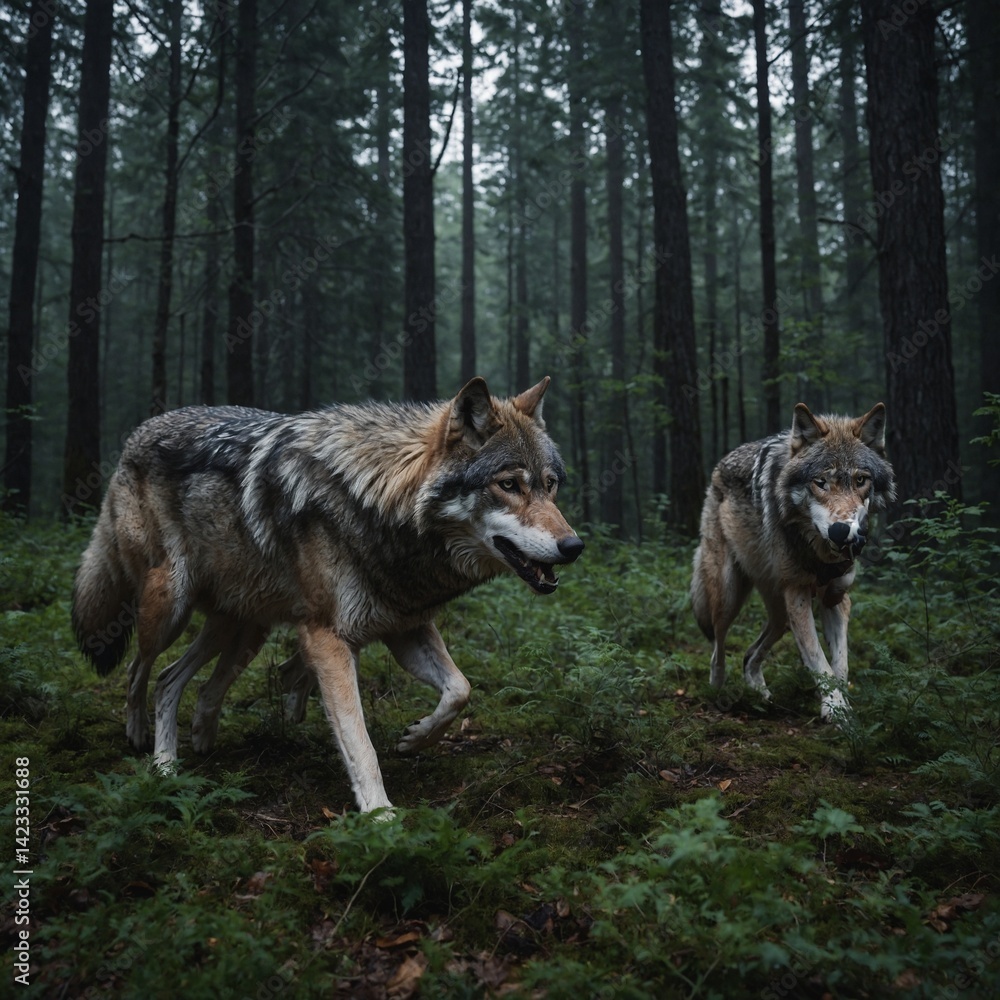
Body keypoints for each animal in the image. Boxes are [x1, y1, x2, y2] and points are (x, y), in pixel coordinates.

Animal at [72, 377, 583, 813]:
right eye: (509, 484)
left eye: (550, 484)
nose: (574, 547)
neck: (380, 504)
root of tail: (140, 430)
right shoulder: (328, 638)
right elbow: (359, 742)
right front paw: (381, 818)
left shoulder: (406, 627)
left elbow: (460, 690)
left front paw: (416, 737)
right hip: (168, 607)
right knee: (141, 672)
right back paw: (152, 755)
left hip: (242, 628)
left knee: (182, 682)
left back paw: (197, 742)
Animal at [690, 403, 895, 720]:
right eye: (820, 483)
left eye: (861, 480)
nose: (841, 531)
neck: (819, 551)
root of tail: (720, 464)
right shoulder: (797, 593)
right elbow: (818, 660)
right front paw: (837, 712)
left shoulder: (836, 598)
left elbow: (840, 664)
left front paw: (841, 706)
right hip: (728, 596)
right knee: (717, 648)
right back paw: (718, 692)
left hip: (780, 613)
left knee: (750, 654)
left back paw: (760, 696)